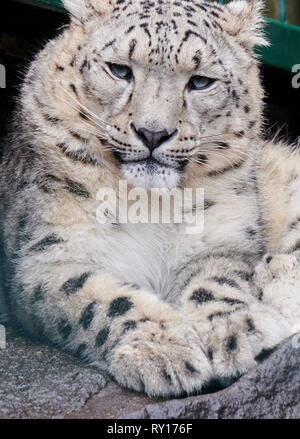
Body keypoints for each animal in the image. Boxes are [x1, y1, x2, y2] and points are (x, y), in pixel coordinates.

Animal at [0, 0, 298, 398]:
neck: (153, 205)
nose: (153, 133)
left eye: (200, 81)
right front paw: (164, 350)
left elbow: (216, 284)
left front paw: (241, 332)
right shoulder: (46, 256)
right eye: (119, 70)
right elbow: (101, 298)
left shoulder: (223, 240)